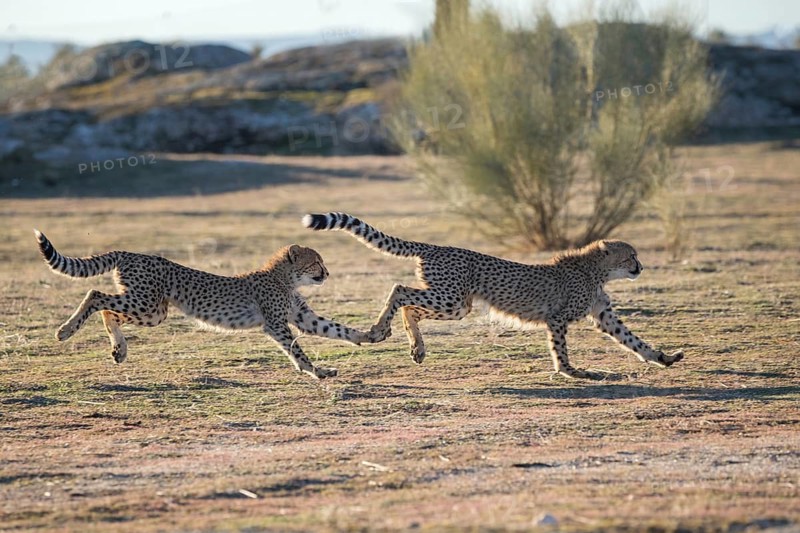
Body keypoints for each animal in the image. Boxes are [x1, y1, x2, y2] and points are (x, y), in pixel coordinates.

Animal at [34, 230, 368, 379]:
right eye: (316, 262)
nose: (327, 273)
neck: (285, 278)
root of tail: (130, 252)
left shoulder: (302, 316)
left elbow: (334, 328)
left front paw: (367, 335)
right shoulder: (276, 324)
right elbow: (297, 349)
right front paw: (315, 371)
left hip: (153, 311)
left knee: (107, 310)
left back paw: (119, 350)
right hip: (145, 302)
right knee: (95, 296)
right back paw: (65, 331)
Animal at [303, 212, 684, 379]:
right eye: (630, 255)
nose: (641, 267)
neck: (594, 268)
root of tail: (437, 246)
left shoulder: (603, 315)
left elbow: (633, 340)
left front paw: (663, 358)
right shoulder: (558, 318)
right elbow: (560, 348)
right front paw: (570, 371)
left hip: (457, 304)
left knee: (409, 303)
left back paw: (417, 347)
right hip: (451, 299)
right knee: (400, 291)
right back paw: (380, 331)